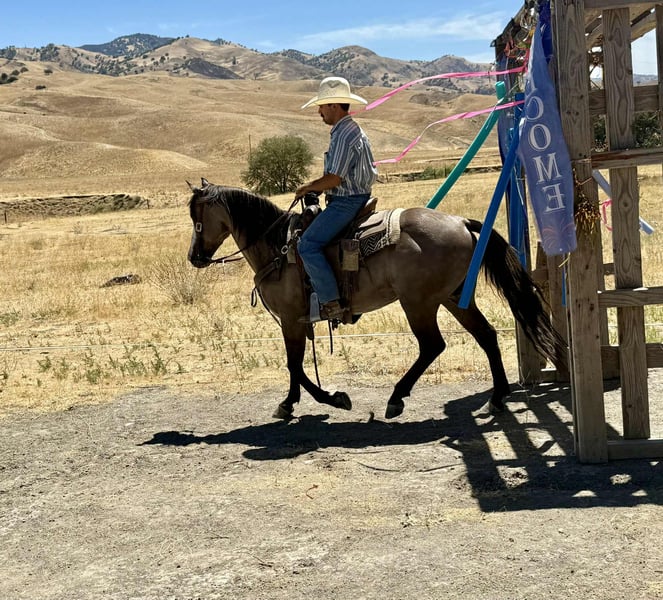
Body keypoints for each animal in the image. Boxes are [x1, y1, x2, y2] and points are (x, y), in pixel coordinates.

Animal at [187, 179, 565, 421]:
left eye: (197, 219)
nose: (195, 257)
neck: (278, 245)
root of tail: (460, 222)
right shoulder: (296, 322)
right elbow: (295, 365)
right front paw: (293, 402)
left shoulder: (292, 319)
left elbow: (294, 364)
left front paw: (328, 399)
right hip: (454, 297)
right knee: (486, 335)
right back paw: (497, 398)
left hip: (419, 303)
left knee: (433, 345)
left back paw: (396, 398)